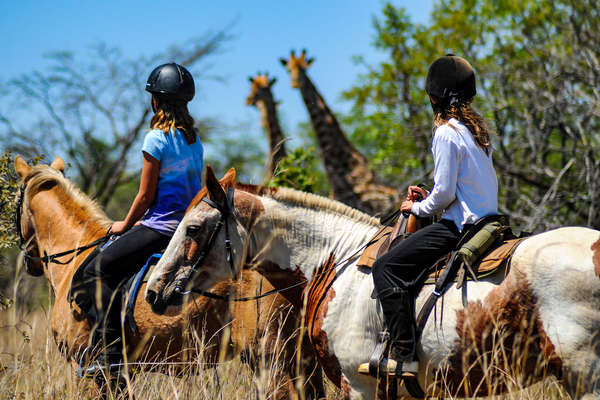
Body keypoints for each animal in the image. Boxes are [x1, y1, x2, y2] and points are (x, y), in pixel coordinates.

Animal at [12, 157, 324, 400]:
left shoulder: (86, 367)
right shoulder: (119, 374)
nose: (30, 261)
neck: (78, 248)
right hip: (305, 361)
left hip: (273, 359)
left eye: (16, 201)